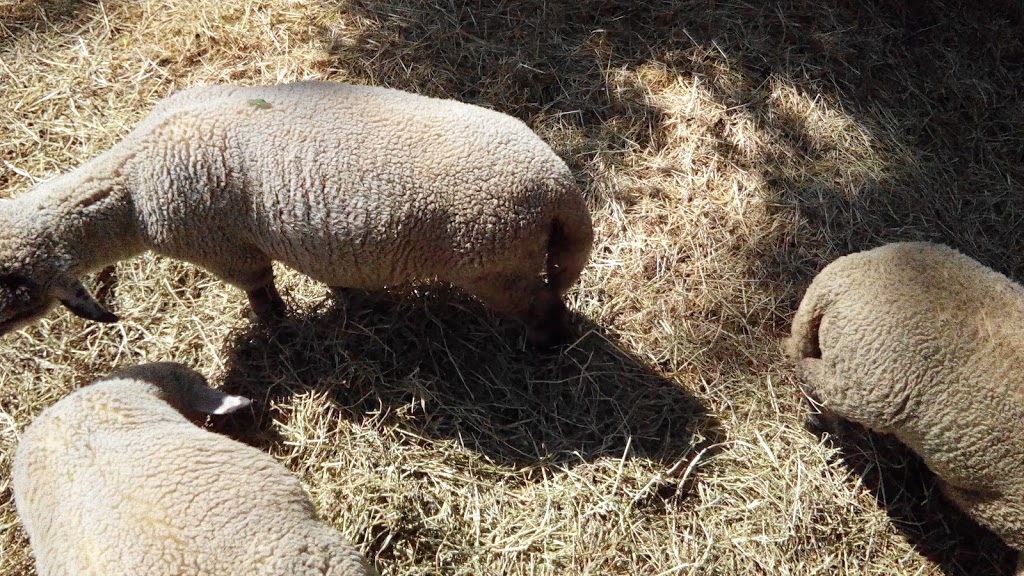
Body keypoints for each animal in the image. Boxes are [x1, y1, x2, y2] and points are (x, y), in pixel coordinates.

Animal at [0, 80, 598, 344]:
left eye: (15, 295)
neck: (131, 179)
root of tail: (560, 188)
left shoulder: (225, 249)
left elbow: (261, 291)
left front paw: (274, 326)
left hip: (494, 263)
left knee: (546, 309)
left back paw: (541, 350)